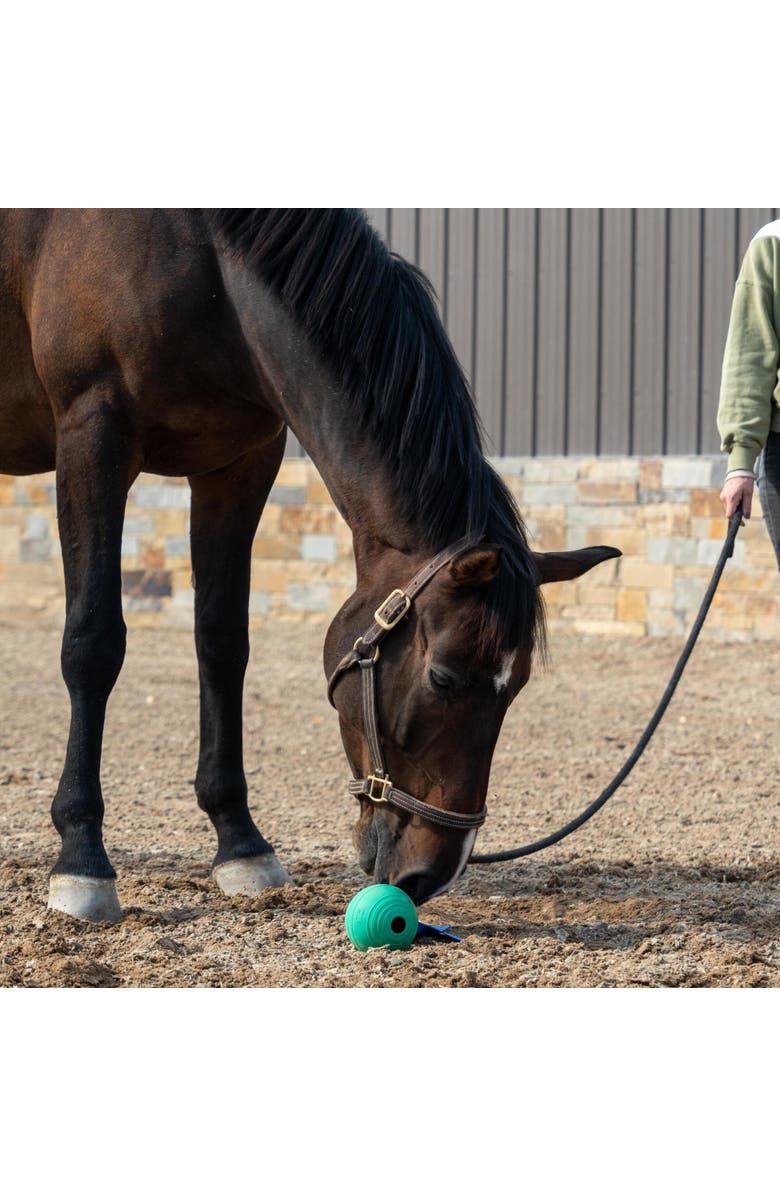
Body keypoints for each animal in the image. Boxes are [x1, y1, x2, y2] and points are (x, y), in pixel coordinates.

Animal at [0, 208, 620, 921]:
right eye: (442, 678)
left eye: (515, 689)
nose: (430, 875)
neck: (199, 258)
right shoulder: (92, 438)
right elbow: (93, 644)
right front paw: (81, 859)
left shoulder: (240, 464)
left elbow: (222, 645)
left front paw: (241, 844)